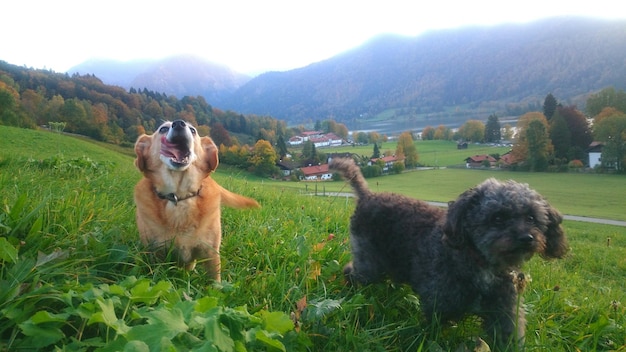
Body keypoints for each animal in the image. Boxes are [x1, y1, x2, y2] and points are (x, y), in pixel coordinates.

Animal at [330, 158, 568, 350]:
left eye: (531, 218)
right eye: (498, 218)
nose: (527, 238)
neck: (480, 263)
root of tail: (367, 196)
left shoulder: (504, 312)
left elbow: (508, 337)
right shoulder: (438, 307)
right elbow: (431, 336)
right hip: (369, 261)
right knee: (353, 271)